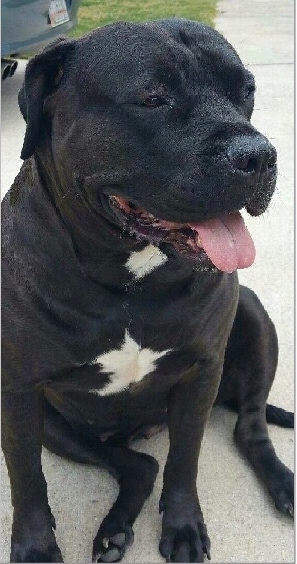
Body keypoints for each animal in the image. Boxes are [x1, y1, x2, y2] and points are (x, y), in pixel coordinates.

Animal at [1, 17, 294, 564]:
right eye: (153, 98)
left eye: (245, 91)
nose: (260, 155)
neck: (128, 282)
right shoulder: (18, 392)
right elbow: (27, 479)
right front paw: (34, 548)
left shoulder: (202, 370)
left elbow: (185, 459)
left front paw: (182, 526)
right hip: (58, 425)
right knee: (137, 466)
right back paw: (114, 530)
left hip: (254, 315)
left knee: (248, 429)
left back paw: (284, 484)